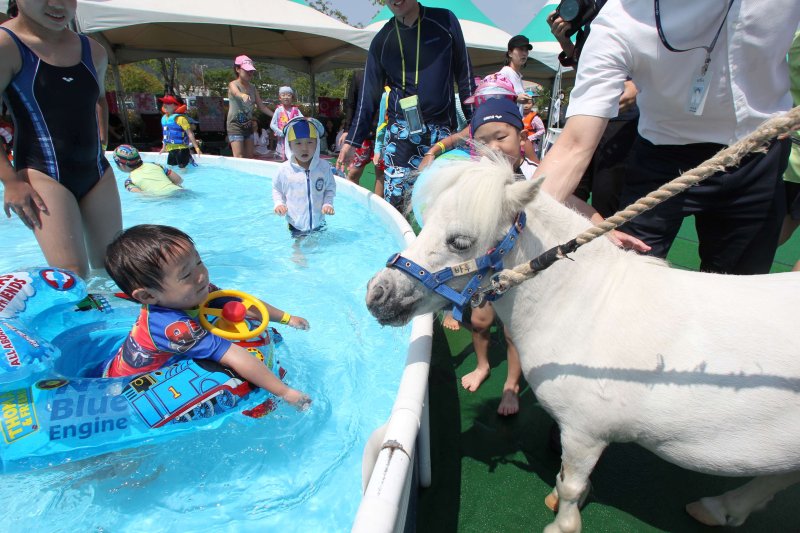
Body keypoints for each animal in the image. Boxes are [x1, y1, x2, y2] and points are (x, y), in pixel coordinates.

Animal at [364, 157, 800, 532]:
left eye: (459, 241)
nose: (377, 294)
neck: (585, 305)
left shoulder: (583, 432)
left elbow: (570, 484)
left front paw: (562, 524)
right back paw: (717, 508)